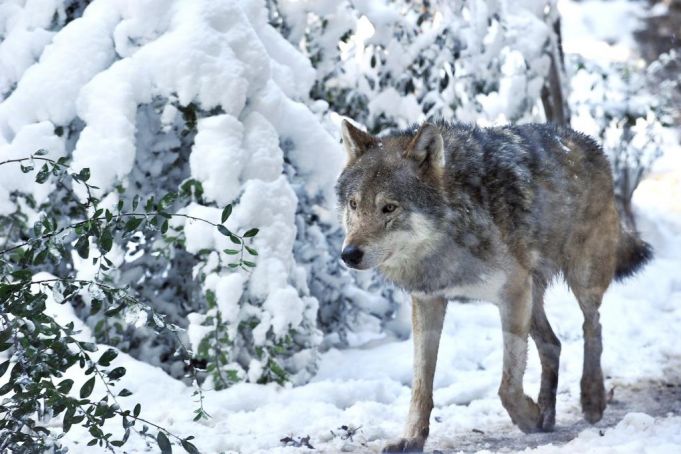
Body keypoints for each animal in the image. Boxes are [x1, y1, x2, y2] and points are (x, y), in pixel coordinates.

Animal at [334, 119, 652, 452]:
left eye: (389, 208)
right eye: (354, 204)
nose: (349, 254)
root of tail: (587, 141)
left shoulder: (512, 294)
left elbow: (508, 386)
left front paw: (528, 417)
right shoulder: (428, 300)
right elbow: (421, 385)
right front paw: (411, 437)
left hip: (582, 278)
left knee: (593, 326)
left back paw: (591, 399)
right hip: (533, 296)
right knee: (553, 344)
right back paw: (548, 412)